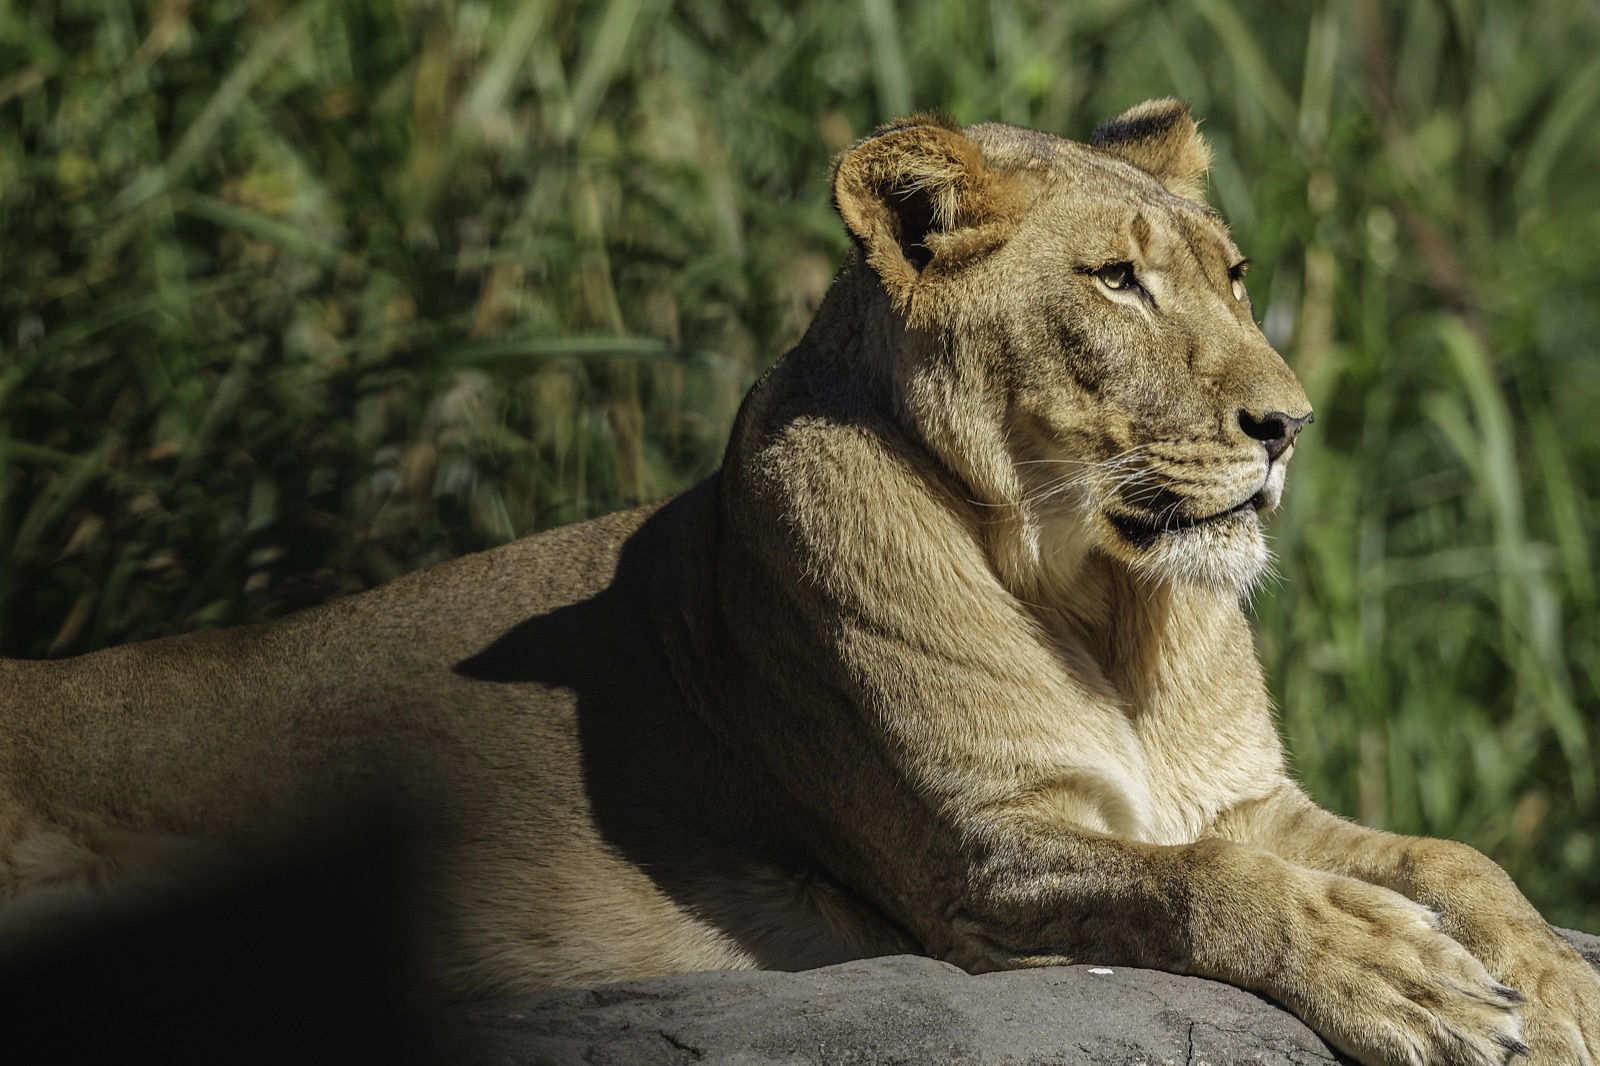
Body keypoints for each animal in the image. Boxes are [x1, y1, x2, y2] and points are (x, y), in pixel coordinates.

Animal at [0, 99, 1595, 1065]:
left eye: (1235, 274)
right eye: (1115, 282)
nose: (1291, 424)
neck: (1103, 604)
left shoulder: (1245, 798)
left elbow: (1451, 858)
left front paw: (1555, 980)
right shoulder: (981, 867)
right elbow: (1209, 887)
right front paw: (1400, 977)